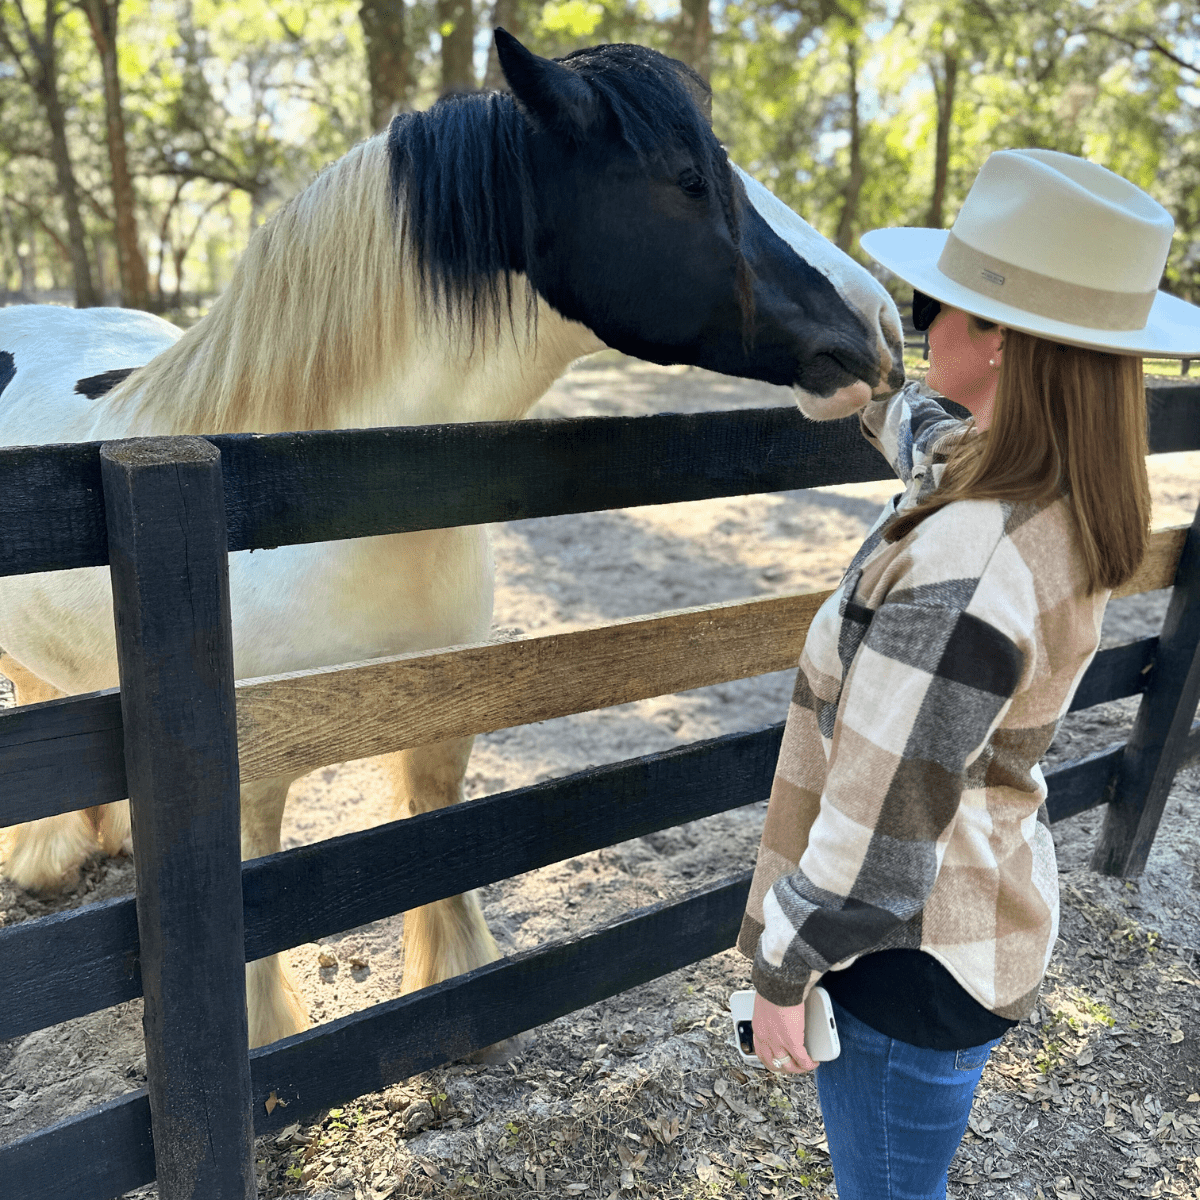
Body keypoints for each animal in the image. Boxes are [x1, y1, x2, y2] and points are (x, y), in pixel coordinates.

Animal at [0, 31, 904, 1049]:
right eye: (688, 180)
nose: (882, 327)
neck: (303, 509)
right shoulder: (247, 775)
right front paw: (269, 1035)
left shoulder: (444, 708)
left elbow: (438, 846)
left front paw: (454, 992)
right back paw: (50, 854)